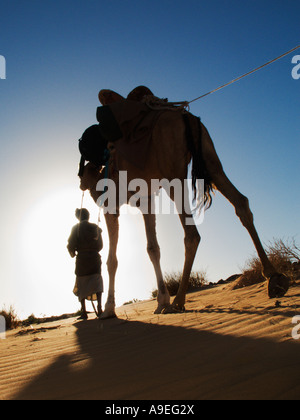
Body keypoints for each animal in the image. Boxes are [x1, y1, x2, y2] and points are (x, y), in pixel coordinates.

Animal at [78, 97, 290, 318]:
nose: (82, 184)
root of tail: (186, 116)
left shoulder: (112, 207)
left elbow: (112, 260)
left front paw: (109, 309)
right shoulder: (146, 201)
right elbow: (153, 248)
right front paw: (161, 300)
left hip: (173, 175)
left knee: (192, 234)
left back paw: (178, 301)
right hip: (210, 160)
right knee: (241, 203)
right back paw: (275, 279)